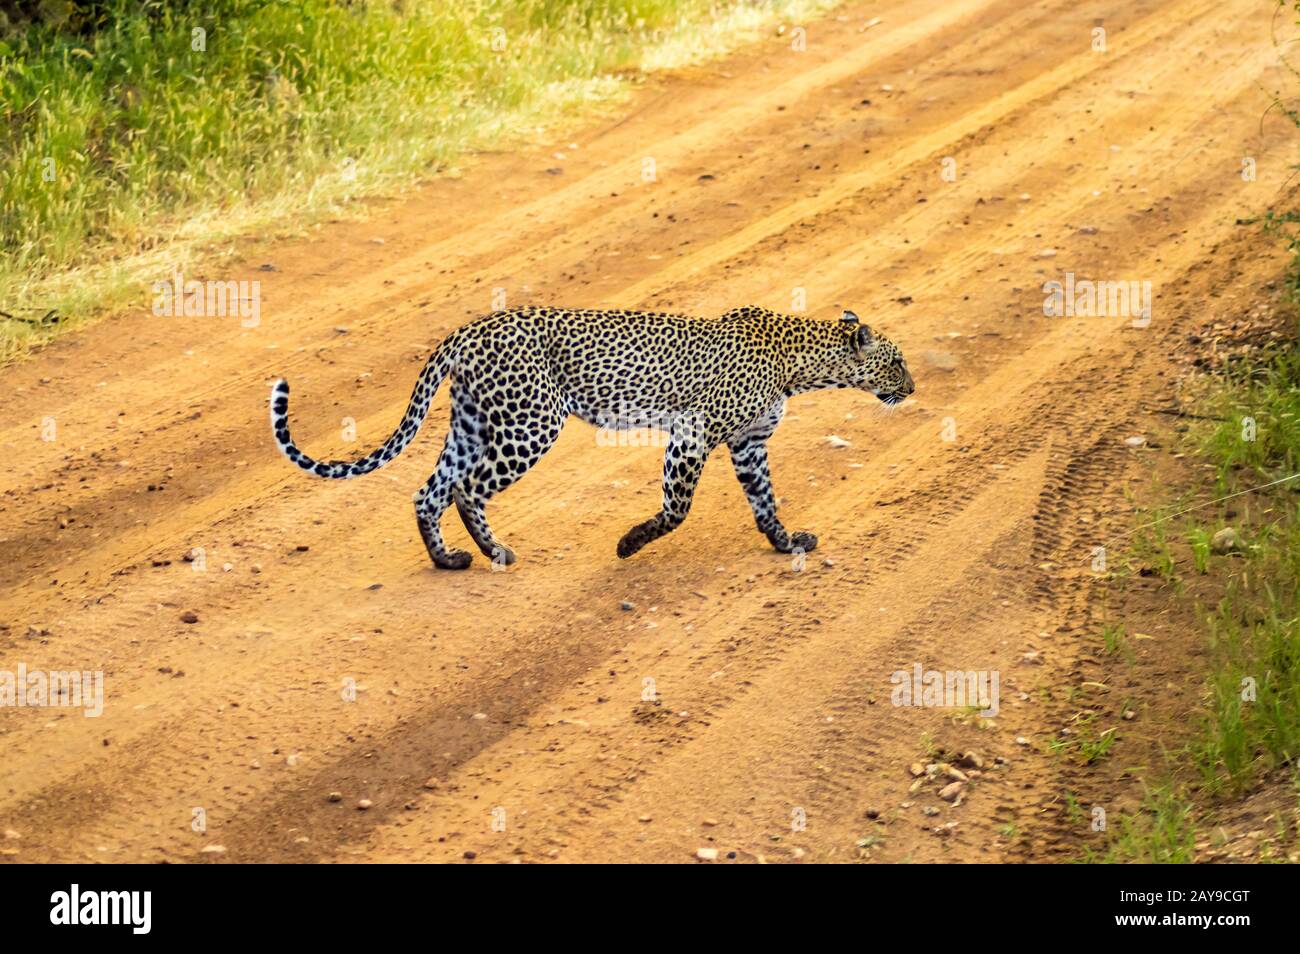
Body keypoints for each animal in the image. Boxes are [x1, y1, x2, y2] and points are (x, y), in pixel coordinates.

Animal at [266, 306, 915, 566]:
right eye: (897, 361)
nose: (912, 387)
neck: (801, 363)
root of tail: (470, 328)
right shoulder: (693, 433)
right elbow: (677, 508)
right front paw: (629, 544)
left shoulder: (749, 444)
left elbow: (765, 503)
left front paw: (786, 544)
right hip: (530, 423)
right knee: (466, 489)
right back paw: (495, 553)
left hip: (474, 423)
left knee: (430, 489)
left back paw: (449, 560)